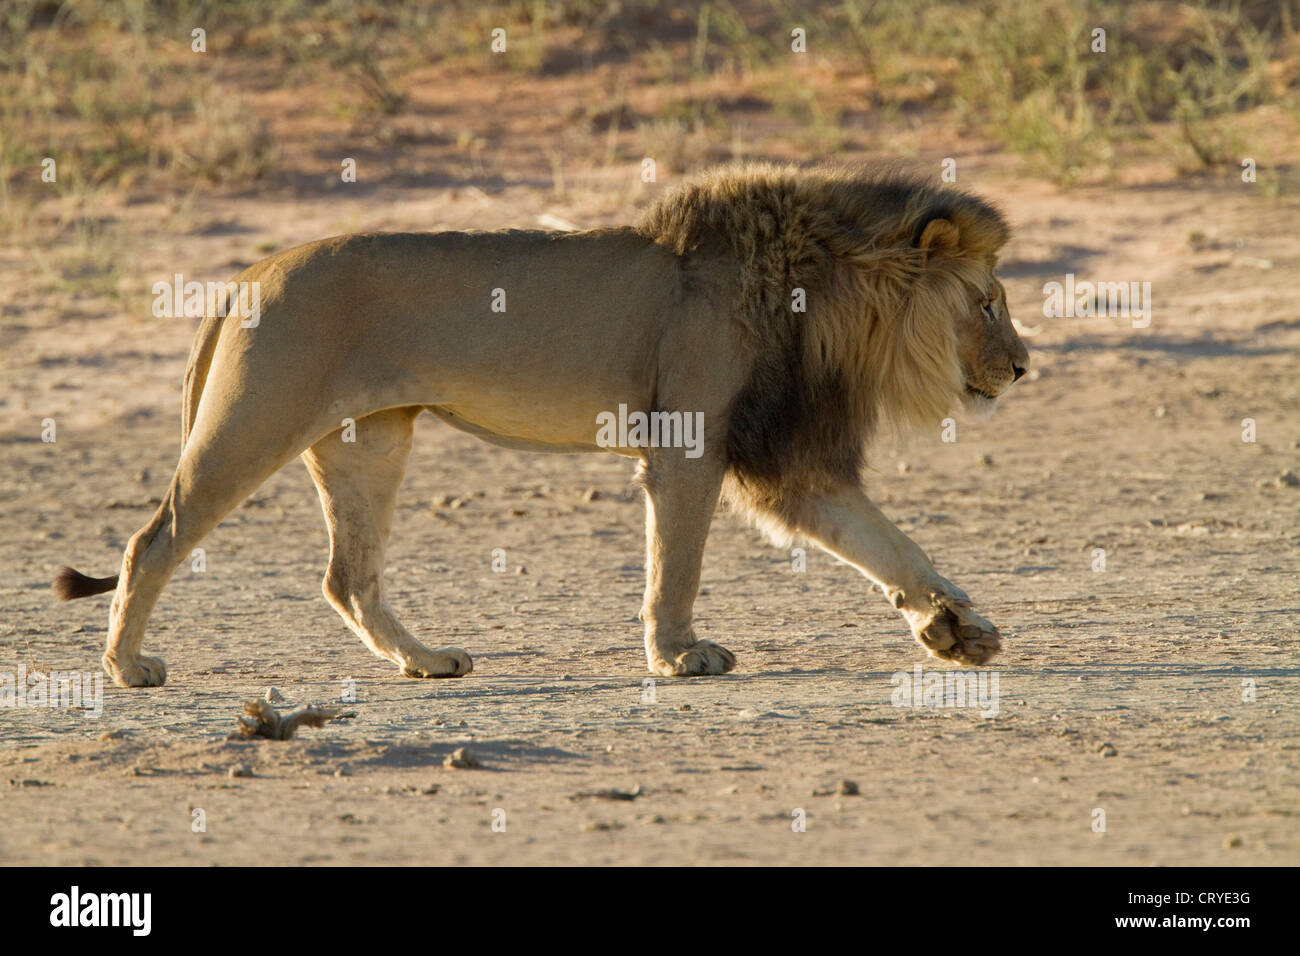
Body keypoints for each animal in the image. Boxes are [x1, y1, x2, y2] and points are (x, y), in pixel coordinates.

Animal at [53, 163, 1028, 688]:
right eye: (987, 302)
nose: (1023, 367)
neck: (820, 295)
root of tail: (249, 271)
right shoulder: (692, 442)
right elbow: (677, 564)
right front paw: (678, 656)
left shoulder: (787, 458)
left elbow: (890, 543)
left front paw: (958, 626)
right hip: (254, 425)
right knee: (153, 541)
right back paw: (127, 668)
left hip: (371, 442)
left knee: (348, 577)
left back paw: (426, 661)